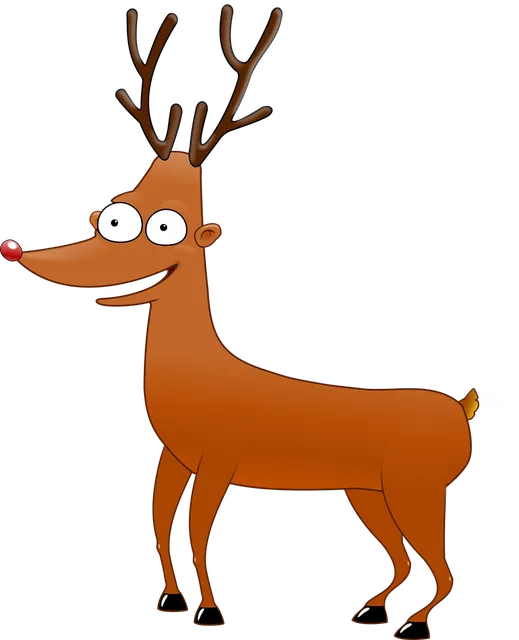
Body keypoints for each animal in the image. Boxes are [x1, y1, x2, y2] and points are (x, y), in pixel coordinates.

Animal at [0, 6, 479, 639]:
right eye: (111, 213)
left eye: (162, 227)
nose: (16, 252)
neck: (200, 371)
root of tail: (464, 410)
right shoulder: (175, 457)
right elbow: (161, 521)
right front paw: (171, 600)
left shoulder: (219, 460)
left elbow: (199, 530)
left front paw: (207, 609)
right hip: (368, 492)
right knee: (404, 559)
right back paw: (371, 610)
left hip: (415, 489)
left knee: (445, 567)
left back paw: (412, 624)